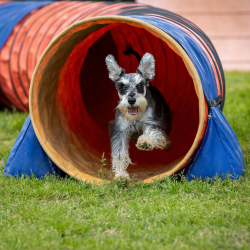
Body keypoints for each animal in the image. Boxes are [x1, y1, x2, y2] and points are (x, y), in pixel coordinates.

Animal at [105, 45, 172, 180]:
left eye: (140, 85)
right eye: (122, 86)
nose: (131, 100)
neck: (135, 117)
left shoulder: (152, 121)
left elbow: (151, 132)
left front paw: (145, 142)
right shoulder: (120, 130)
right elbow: (119, 153)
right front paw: (121, 175)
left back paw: (166, 144)